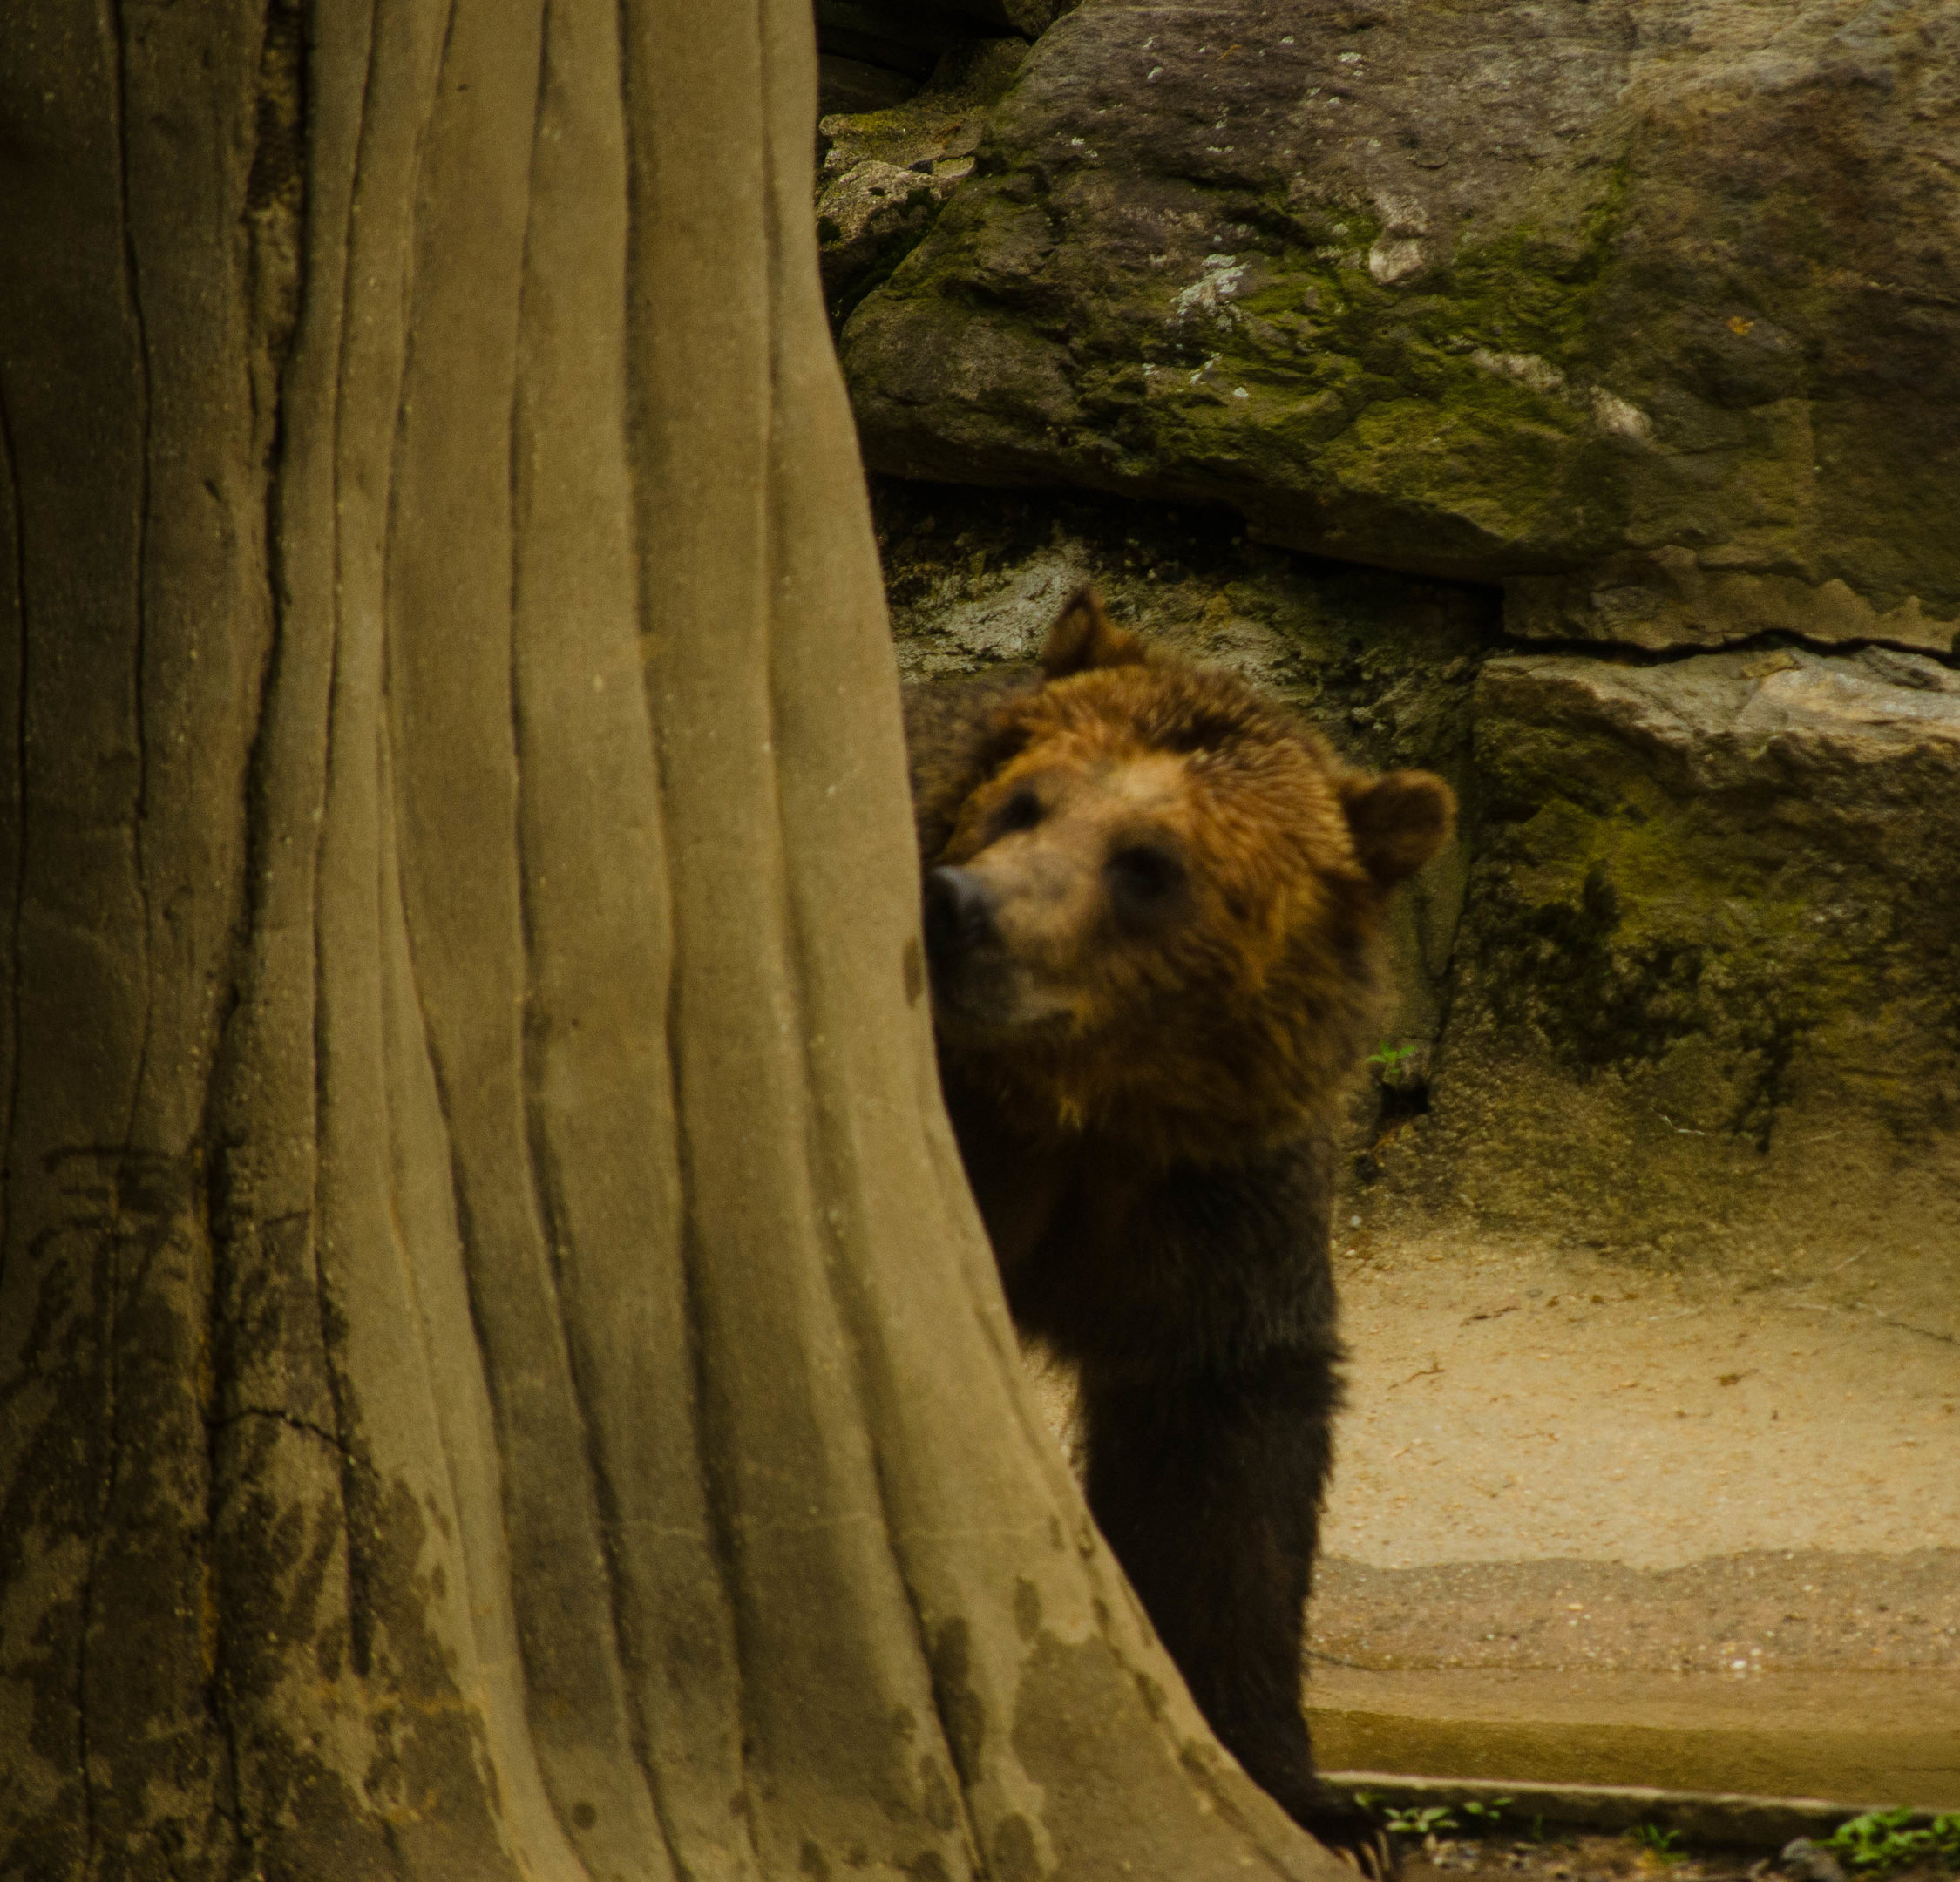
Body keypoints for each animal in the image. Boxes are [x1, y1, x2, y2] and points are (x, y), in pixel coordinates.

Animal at [904, 588, 1455, 1866]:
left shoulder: (1213, 1197)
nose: (963, 909)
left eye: (1147, 867)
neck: (1070, 1106)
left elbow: (1223, 1474)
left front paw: (1313, 1801)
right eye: (1024, 802)